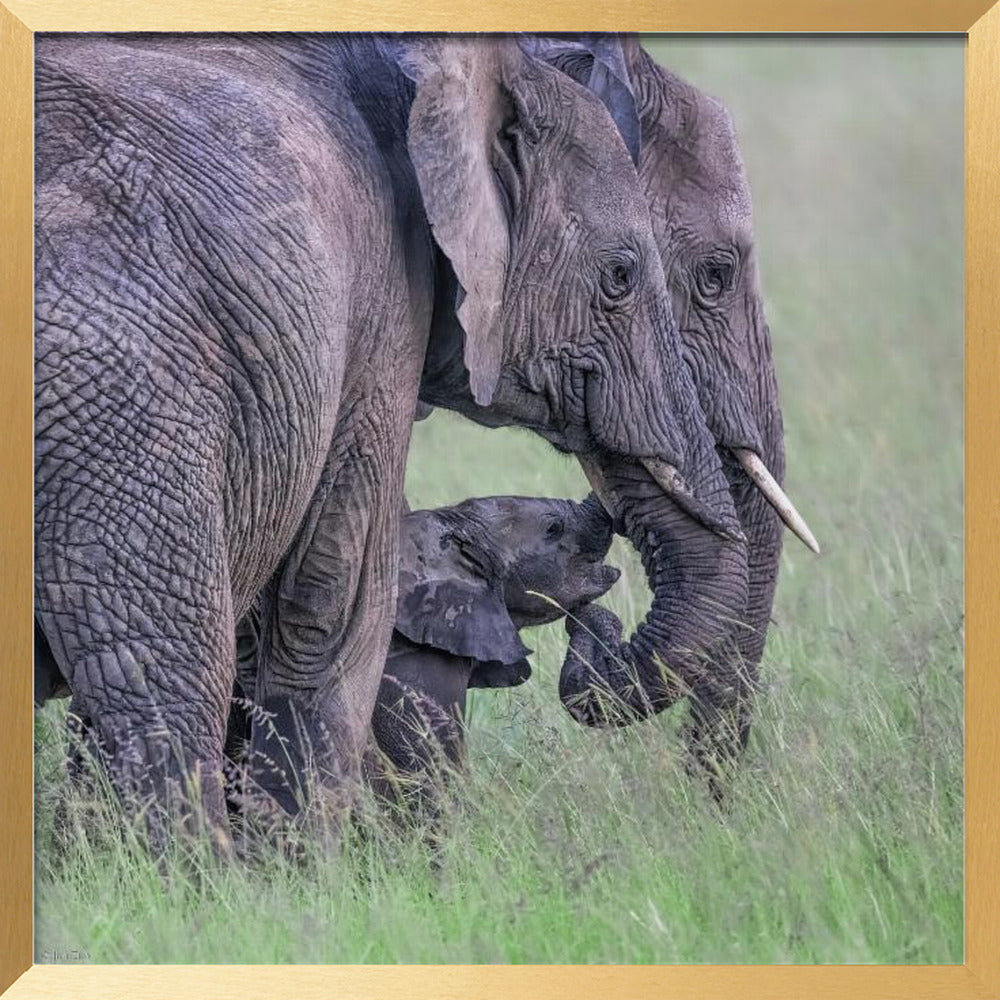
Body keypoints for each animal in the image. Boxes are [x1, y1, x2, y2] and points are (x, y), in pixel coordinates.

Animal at [34, 32, 746, 847]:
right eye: (621, 275)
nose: (596, 620)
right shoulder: (380, 307)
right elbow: (330, 608)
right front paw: (301, 870)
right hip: (123, 399)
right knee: (161, 679)